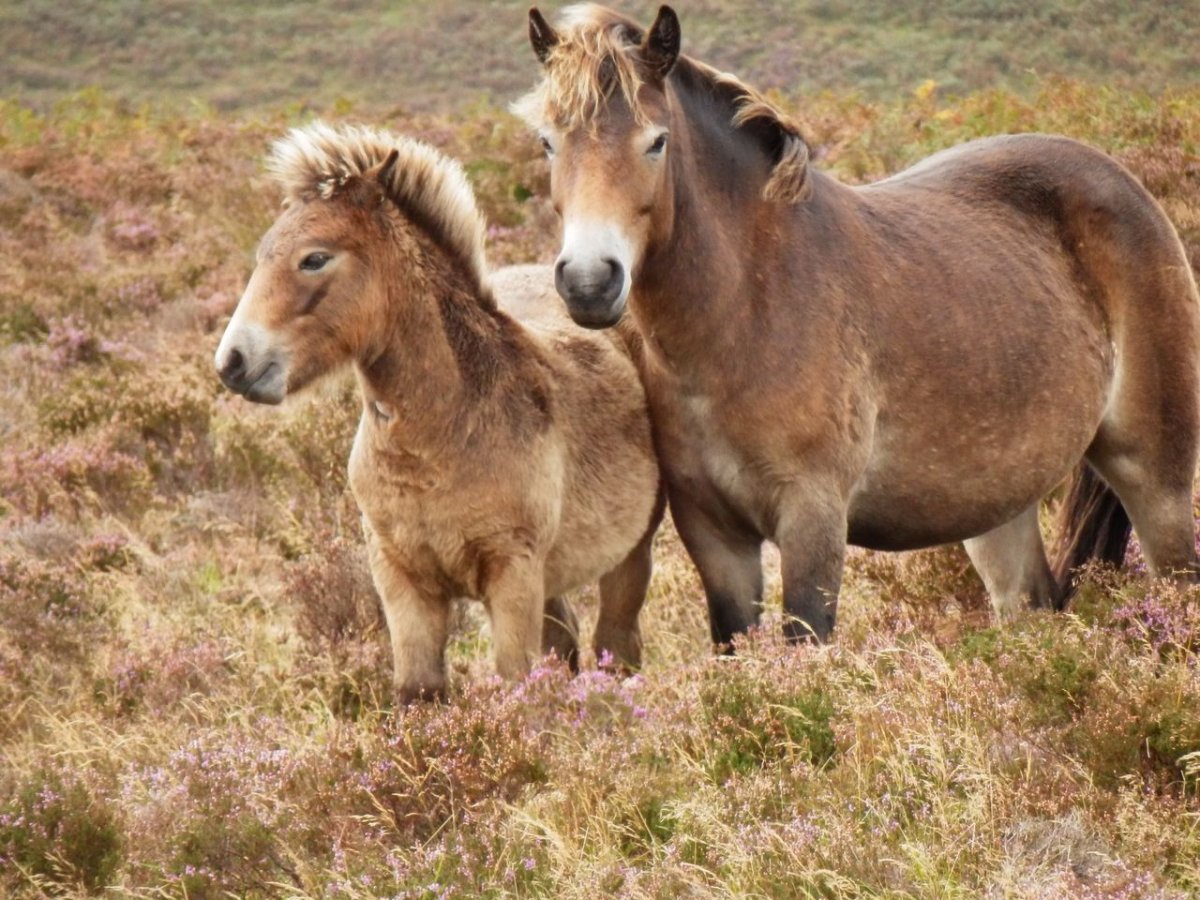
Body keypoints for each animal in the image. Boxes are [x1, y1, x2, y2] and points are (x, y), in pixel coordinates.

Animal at [214, 122, 662, 700]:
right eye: (262, 254)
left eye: (314, 258)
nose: (233, 362)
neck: (440, 438)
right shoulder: (402, 580)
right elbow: (420, 690)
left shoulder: (512, 573)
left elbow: (517, 683)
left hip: (628, 555)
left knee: (617, 644)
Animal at [514, 4, 1200, 646]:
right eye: (548, 142)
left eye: (655, 142)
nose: (589, 282)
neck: (749, 309)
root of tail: (1125, 184)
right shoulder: (715, 536)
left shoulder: (813, 519)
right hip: (999, 506)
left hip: (1155, 481)